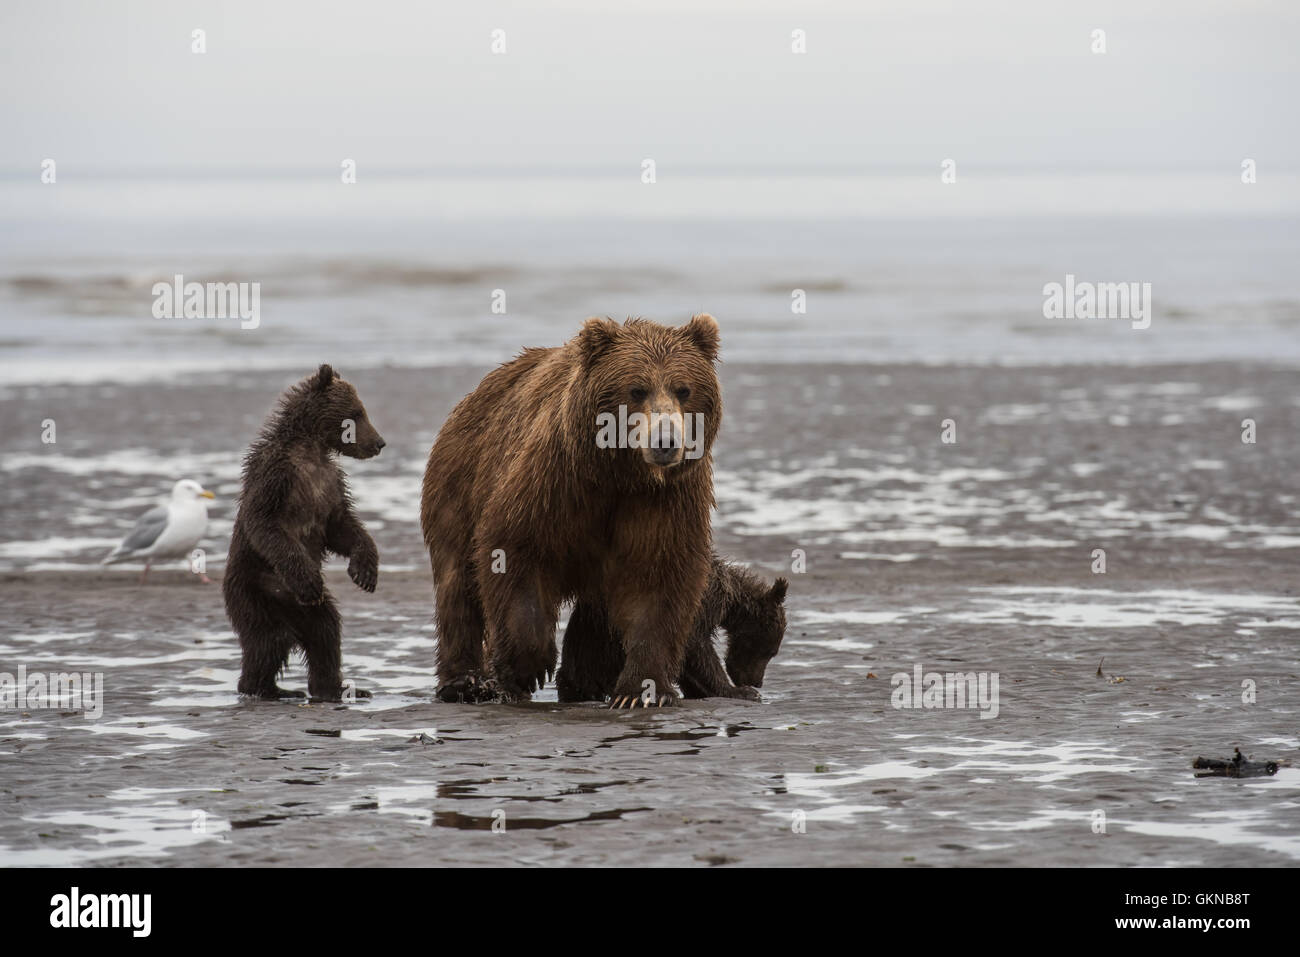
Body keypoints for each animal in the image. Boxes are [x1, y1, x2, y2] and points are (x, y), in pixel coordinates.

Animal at [223, 364, 386, 701]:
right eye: (357, 412)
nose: (379, 443)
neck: (311, 448)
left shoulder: (330, 483)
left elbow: (342, 527)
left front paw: (365, 572)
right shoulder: (277, 476)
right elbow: (265, 523)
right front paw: (310, 580)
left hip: (308, 611)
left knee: (326, 633)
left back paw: (334, 687)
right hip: (256, 590)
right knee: (267, 641)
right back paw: (266, 688)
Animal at [420, 314, 722, 707]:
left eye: (683, 389)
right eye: (637, 389)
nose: (665, 441)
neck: (619, 475)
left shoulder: (663, 501)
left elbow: (658, 579)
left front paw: (640, 691)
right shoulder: (556, 483)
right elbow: (516, 551)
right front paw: (526, 668)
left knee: (597, 610)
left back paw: (582, 682)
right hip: (459, 481)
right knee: (457, 582)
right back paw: (466, 682)